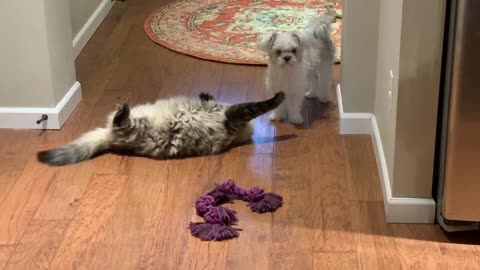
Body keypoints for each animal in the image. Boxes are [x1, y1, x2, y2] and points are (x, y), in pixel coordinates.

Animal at [39, 92, 284, 166]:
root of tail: (109, 138)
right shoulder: (235, 114)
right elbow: (262, 104)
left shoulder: (235, 115)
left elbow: (262, 104)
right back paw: (122, 108)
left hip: (136, 129)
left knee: (121, 122)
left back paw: (122, 110)